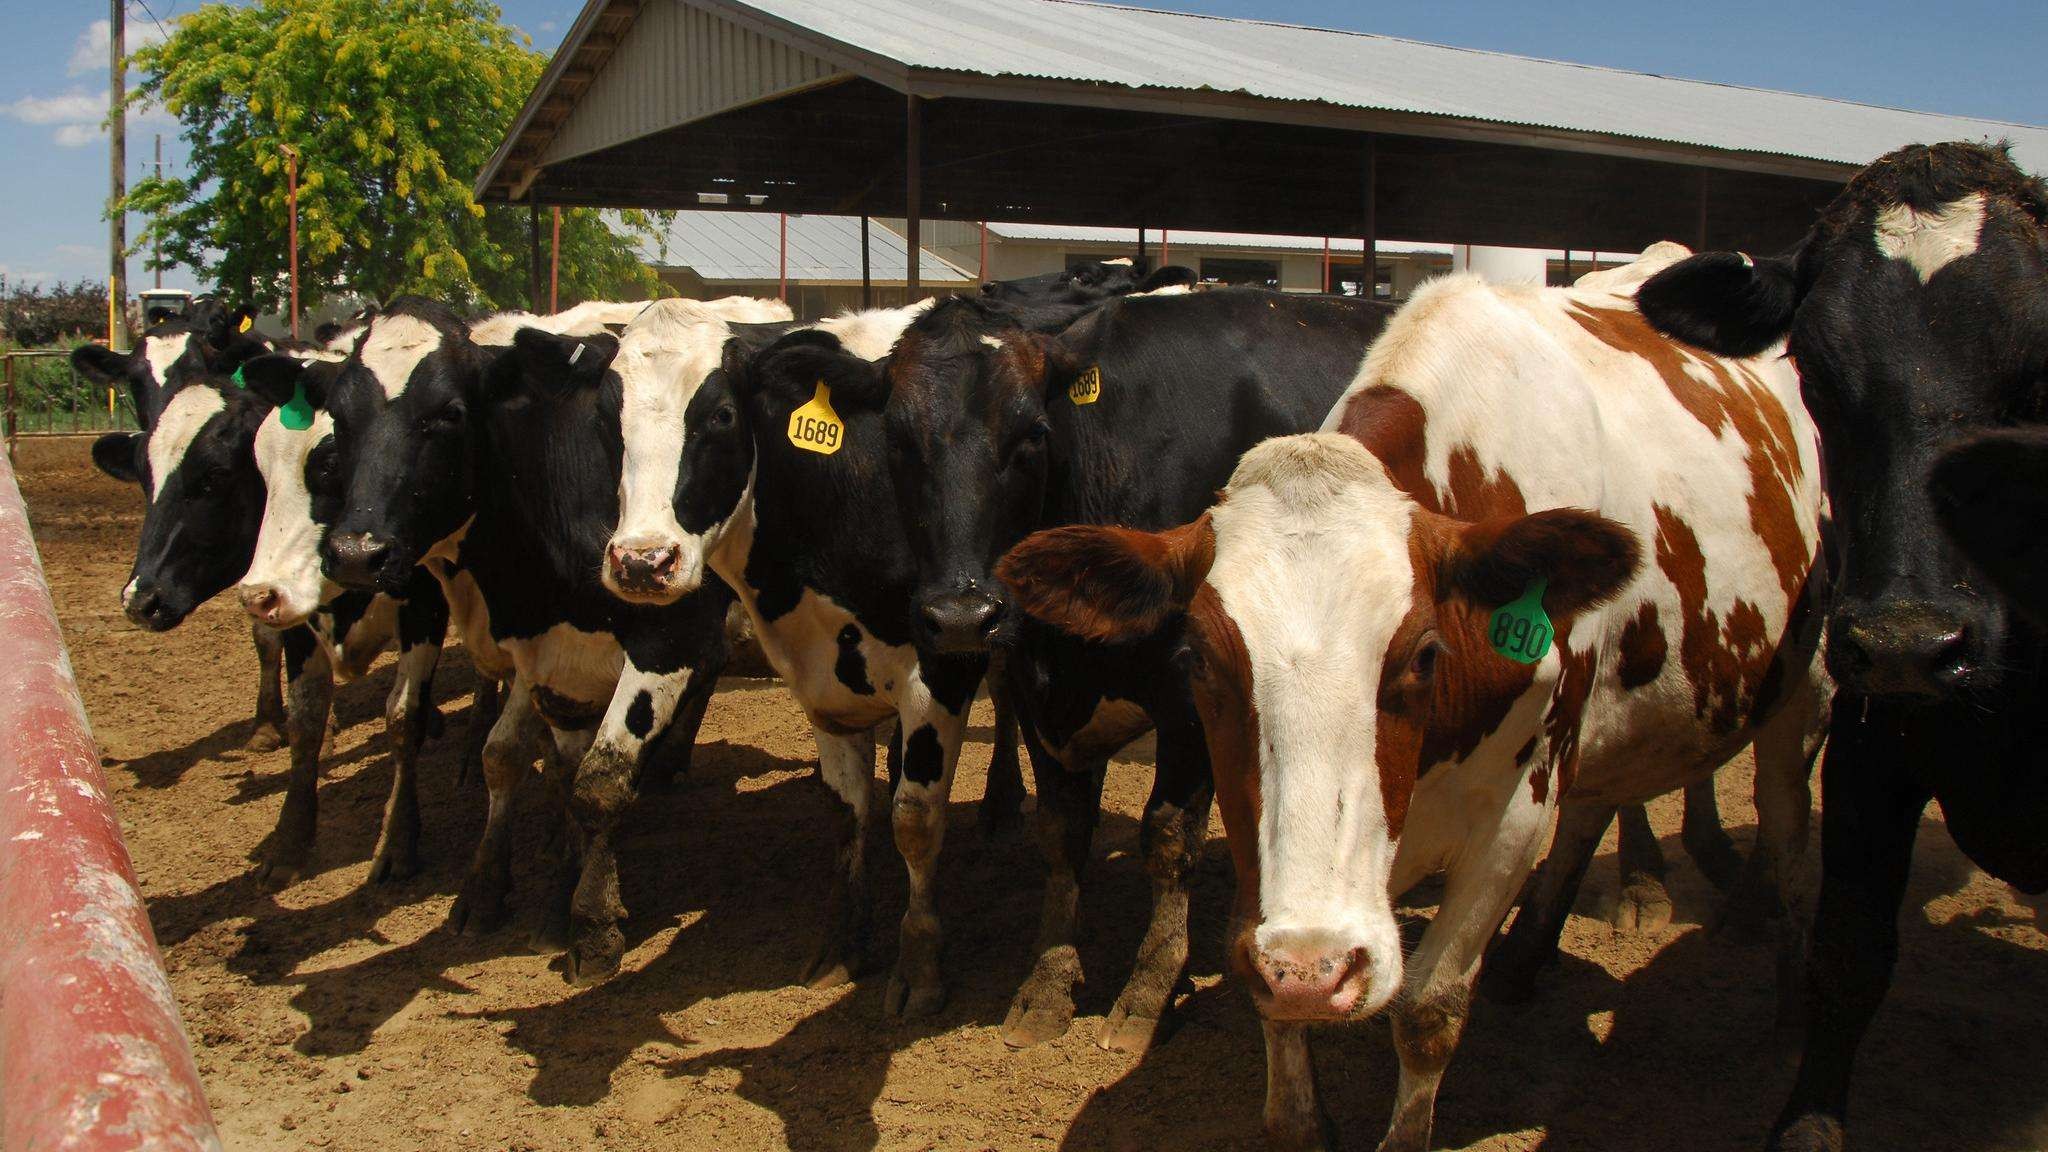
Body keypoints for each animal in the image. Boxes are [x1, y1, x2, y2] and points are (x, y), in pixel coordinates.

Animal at [999, 262, 1835, 1147]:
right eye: (1197, 658)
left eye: (1425, 654)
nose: (1315, 971)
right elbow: (1279, 1017)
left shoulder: (1514, 814)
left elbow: (1429, 1008)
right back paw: (1527, 958)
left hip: (1805, 698)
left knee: (1789, 836)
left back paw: (1790, 1005)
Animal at [1638, 141, 2048, 1147]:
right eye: (1818, 377)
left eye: (2038, 370)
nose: (1910, 642)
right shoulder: (1873, 744)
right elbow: (1850, 950)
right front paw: (1808, 1121)